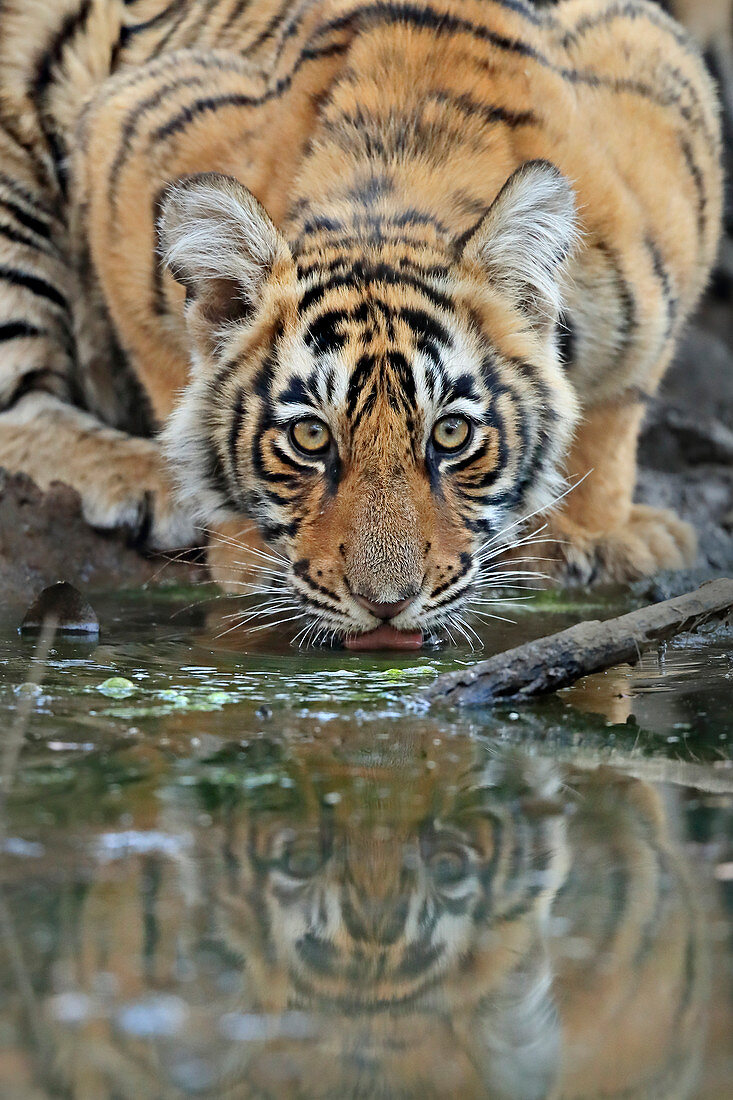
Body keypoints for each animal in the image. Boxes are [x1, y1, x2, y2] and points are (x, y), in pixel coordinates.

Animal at [0, 0, 721, 646]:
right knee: (22, 406)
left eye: (451, 433)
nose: (385, 604)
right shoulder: (125, 142)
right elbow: (178, 380)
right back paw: (145, 485)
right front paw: (239, 549)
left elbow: (612, 417)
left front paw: (603, 537)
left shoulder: (660, 78)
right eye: (310, 438)